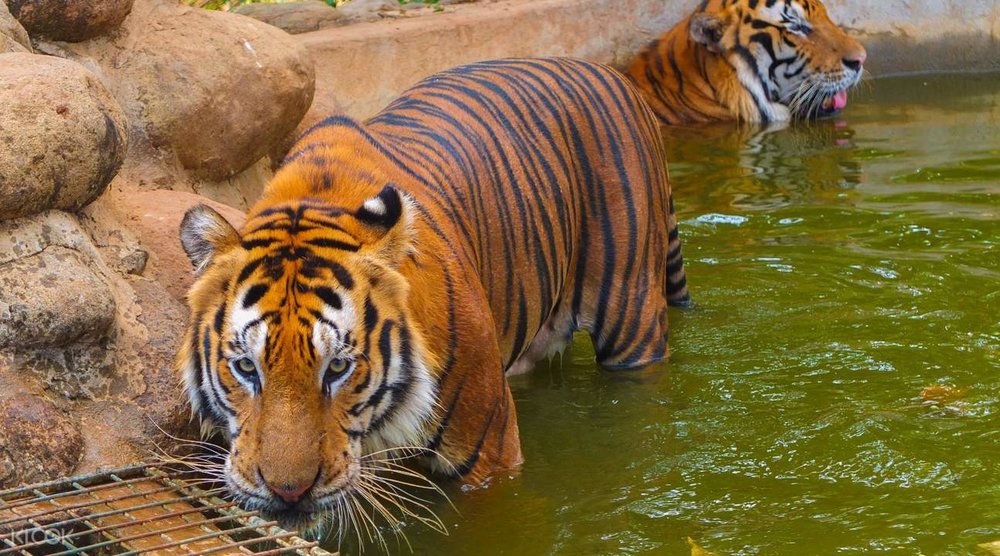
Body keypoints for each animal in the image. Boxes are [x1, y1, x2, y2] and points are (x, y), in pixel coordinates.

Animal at [176, 57, 690, 534]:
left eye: (337, 367)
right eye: (247, 367)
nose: (288, 491)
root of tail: (612, 74)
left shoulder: (491, 458)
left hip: (631, 314)